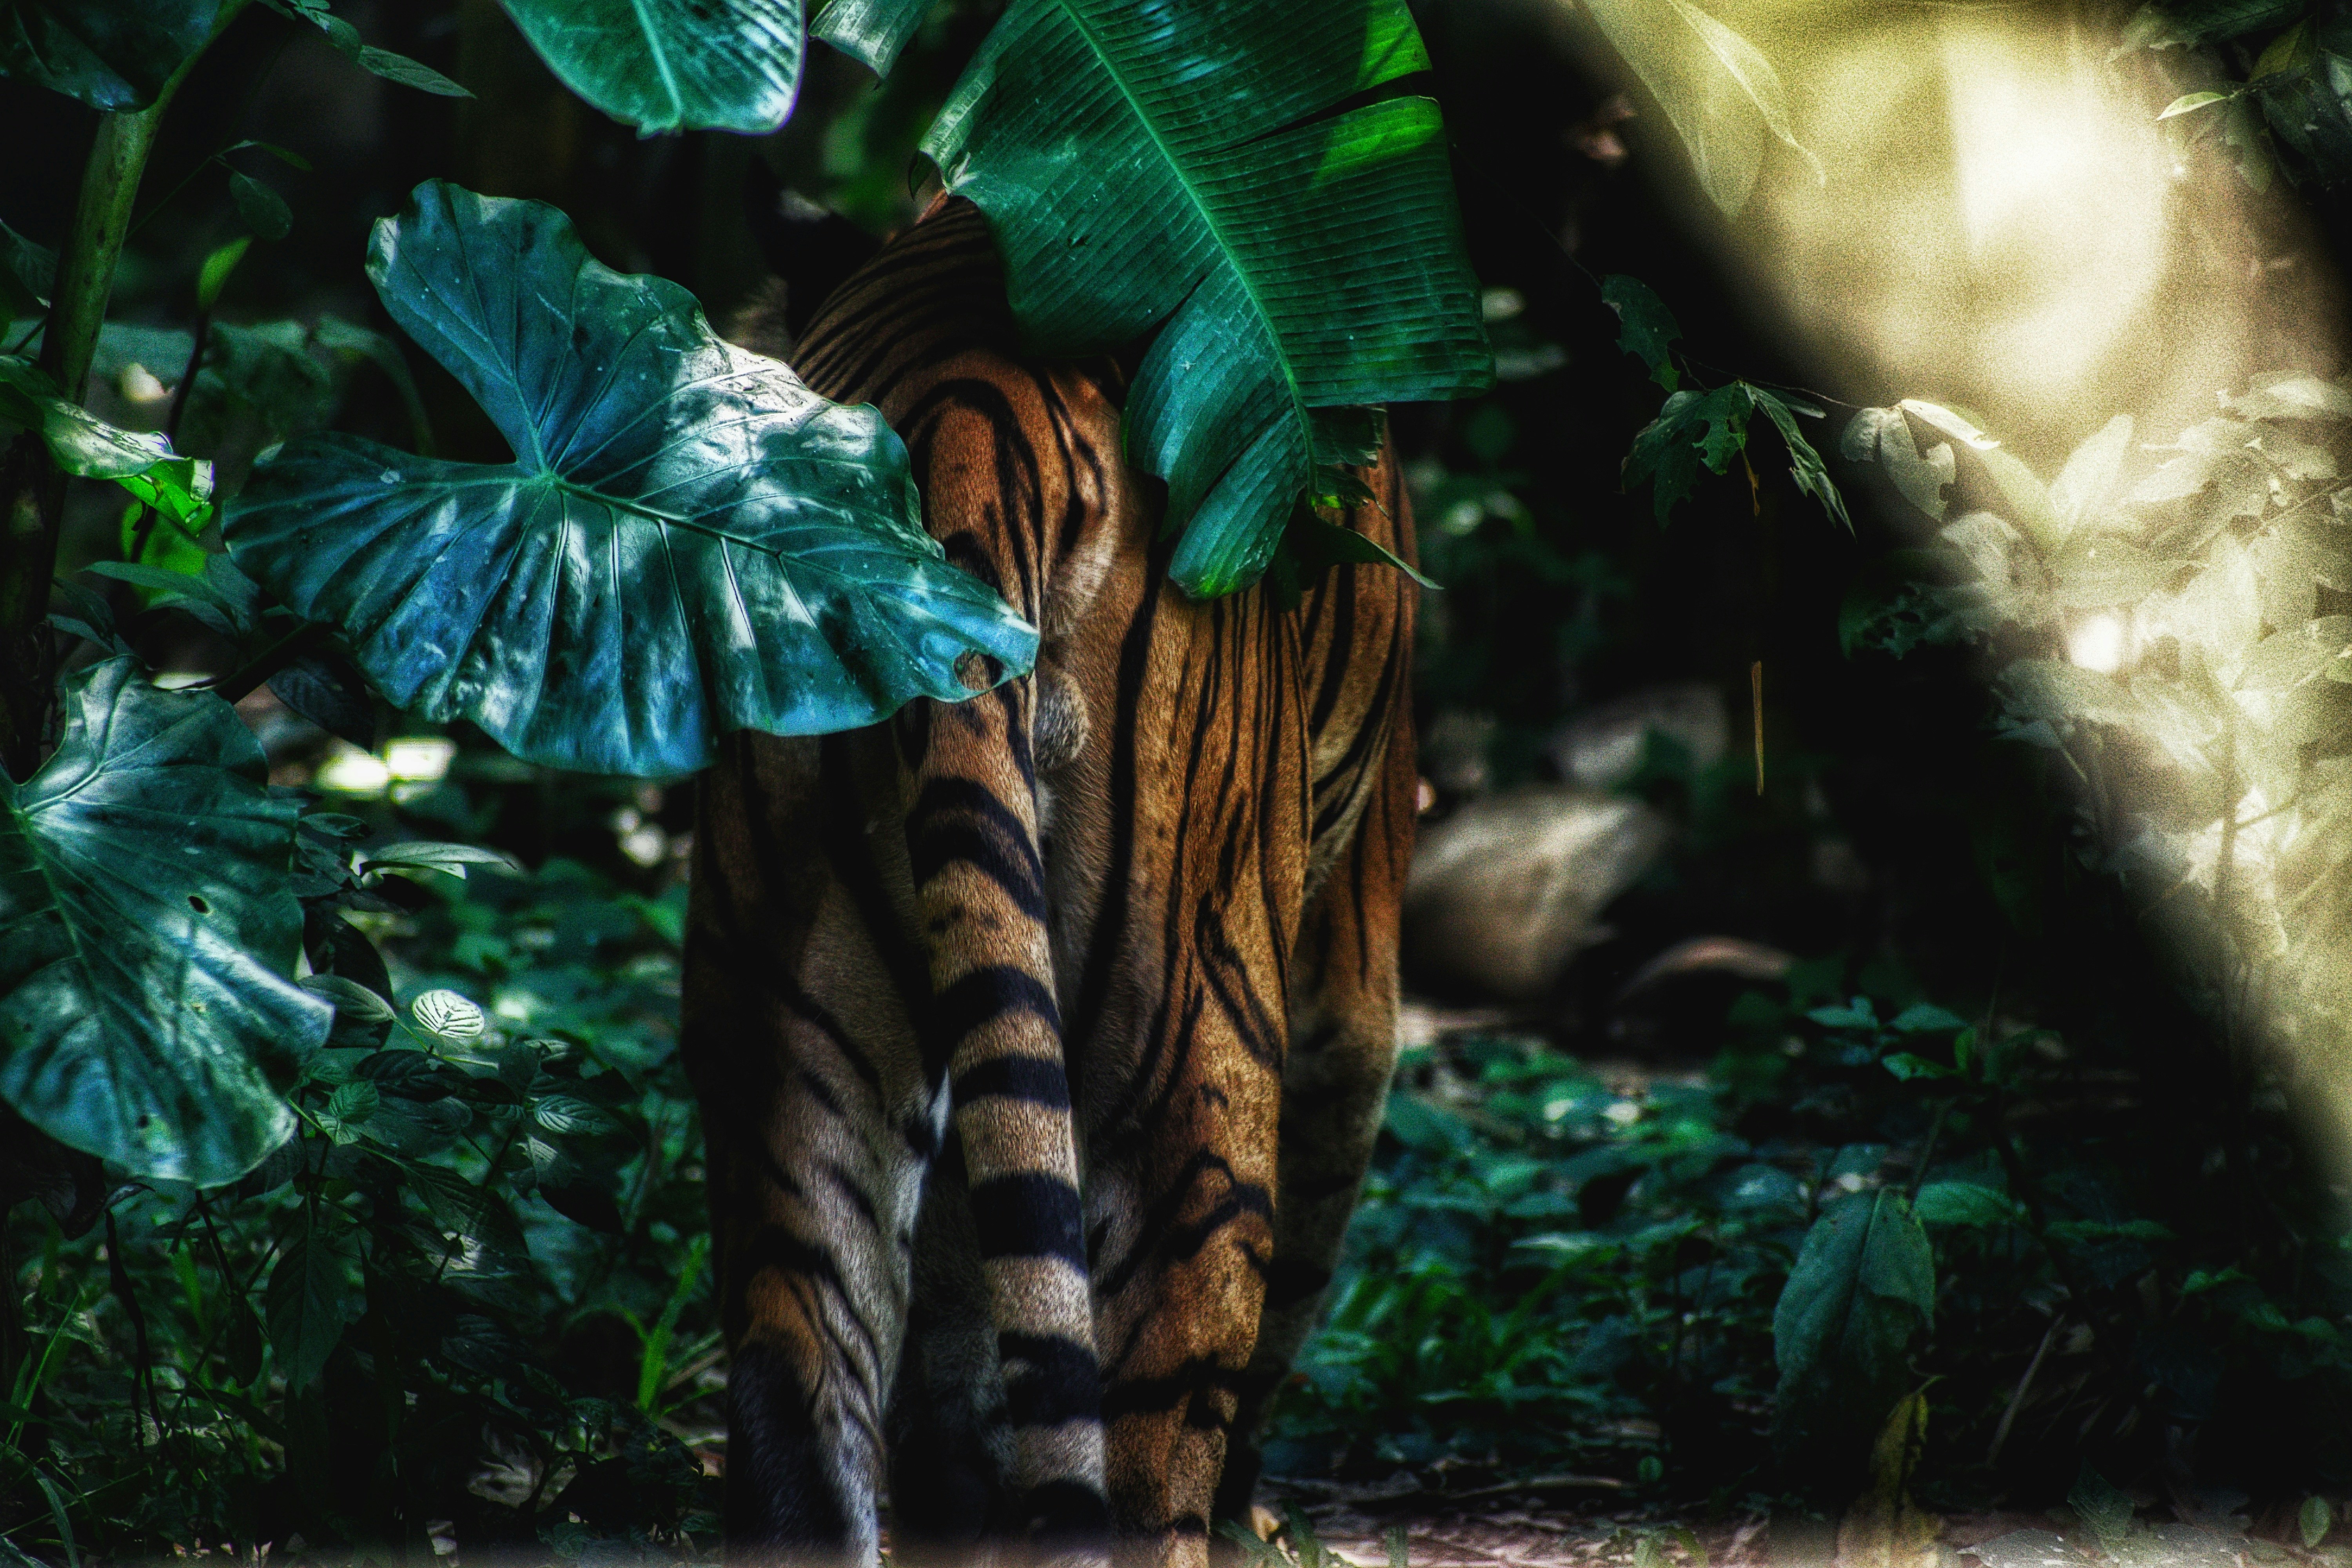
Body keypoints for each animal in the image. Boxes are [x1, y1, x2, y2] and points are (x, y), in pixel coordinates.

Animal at [681, 192, 1419, 1568]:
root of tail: (964, 413)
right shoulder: (1350, 958)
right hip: (1189, 1042)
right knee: (1154, 1435)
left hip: (782, 1027)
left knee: (805, 1393)